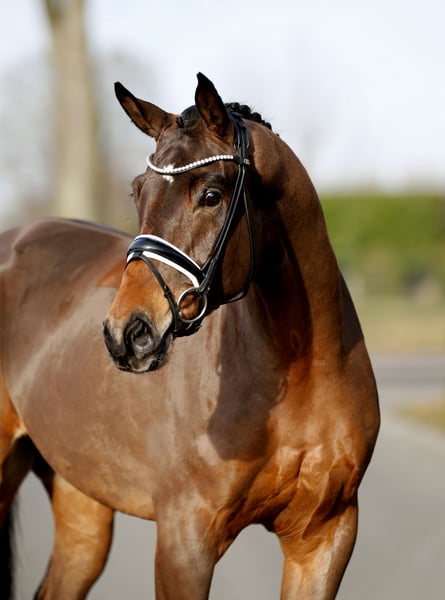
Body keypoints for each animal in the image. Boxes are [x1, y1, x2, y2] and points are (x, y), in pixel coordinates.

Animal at [0, 73, 379, 599]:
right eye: (138, 192)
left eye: (212, 195)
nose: (127, 333)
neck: (303, 371)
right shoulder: (185, 541)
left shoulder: (324, 536)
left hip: (81, 497)